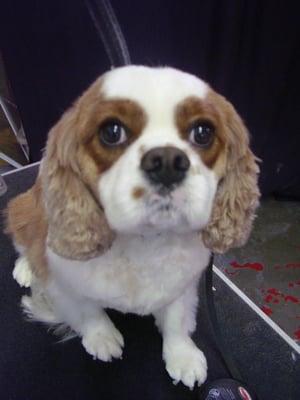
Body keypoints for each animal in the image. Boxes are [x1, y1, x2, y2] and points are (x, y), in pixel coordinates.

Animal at [5, 66, 260, 390]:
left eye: (203, 132)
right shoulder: (63, 283)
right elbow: (87, 311)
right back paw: (26, 267)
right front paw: (101, 337)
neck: (144, 242)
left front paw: (182, 356)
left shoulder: (182, 284)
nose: (167, 161)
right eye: (112, 132)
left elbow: (176, 320)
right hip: (24, 208)